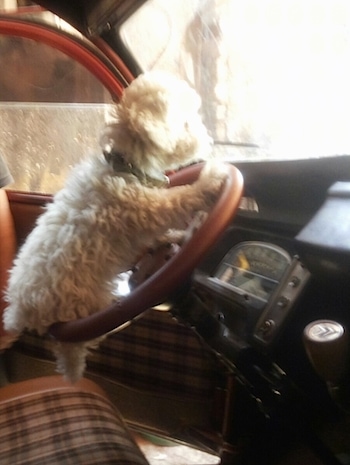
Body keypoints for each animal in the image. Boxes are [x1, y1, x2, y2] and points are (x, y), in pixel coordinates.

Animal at [2, 70, 227, 380]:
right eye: (186, 121)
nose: (208, 140)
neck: (124, 167)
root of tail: (19, 310)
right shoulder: (146, 207)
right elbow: (180, 198)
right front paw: (212, 180)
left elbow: (155, 234)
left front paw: (173, 236)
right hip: (82, 307)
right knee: (77, 344)